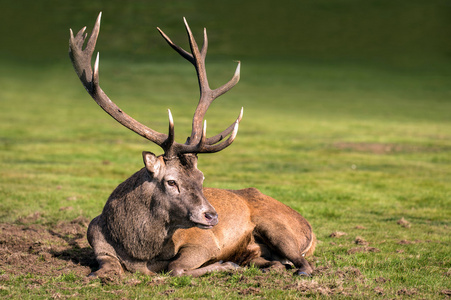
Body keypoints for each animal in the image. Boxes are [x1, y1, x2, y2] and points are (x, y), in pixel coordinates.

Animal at [69, 12, 318, 278]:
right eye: (171, 181)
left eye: (202, 178)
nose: (211, 216)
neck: (139, 253)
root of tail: (310, 229)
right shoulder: (96, 239)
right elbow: (106, 267)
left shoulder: (204, 242)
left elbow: (175, 268)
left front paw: (224, 265)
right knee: (270, 260)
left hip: (277, 227)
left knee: (303, 263)